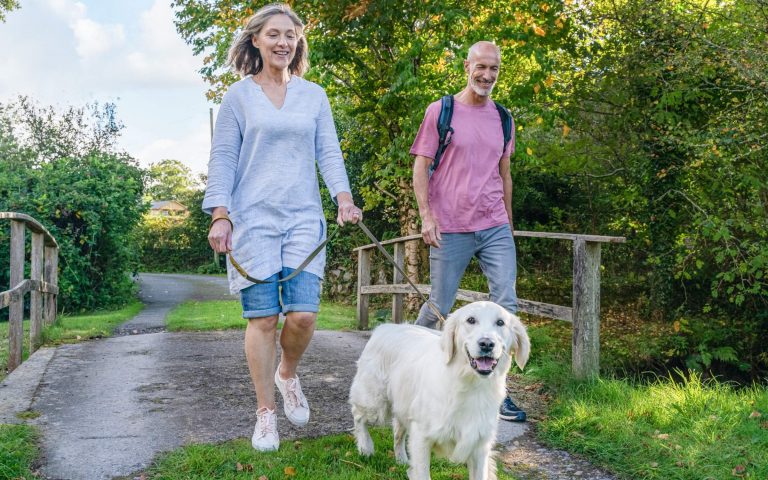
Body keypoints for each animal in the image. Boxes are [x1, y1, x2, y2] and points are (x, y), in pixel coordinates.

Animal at [348, 302, 528, 478]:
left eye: (500, 322)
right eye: (470, 320)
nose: (487, 343)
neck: (470, 385)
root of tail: (385, 327)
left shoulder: (479, 446)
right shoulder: (422, 437)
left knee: (398, 431)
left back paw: (401, 459)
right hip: (373, 401)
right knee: (358, 416)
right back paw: (365, 448)